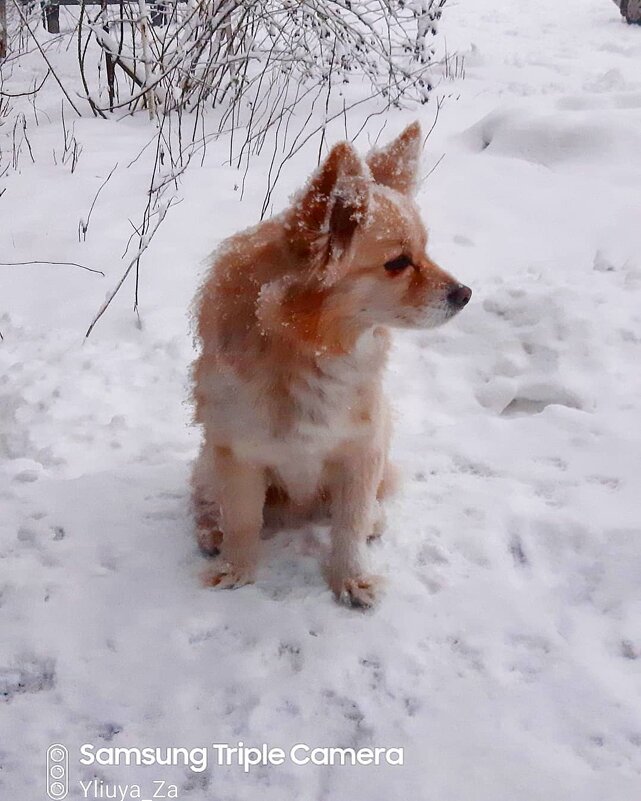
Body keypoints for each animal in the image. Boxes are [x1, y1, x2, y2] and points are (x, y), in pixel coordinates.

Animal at [190, 120, 470, 608]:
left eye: (426, 251)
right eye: (398, 263)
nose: (465, 293)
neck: (312, 351)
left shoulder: (362, 452)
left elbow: (349, 527)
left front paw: (350, 578)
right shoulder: (239, 455)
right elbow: (242, 522)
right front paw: (236, 572)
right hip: (209, 460)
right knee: (208, 500)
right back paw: (211, 531)